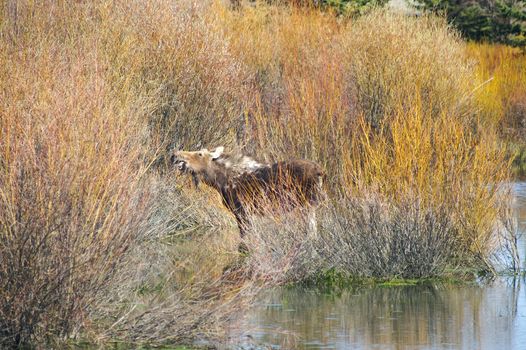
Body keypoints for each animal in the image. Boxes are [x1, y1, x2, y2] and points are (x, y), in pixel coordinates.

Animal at [172, 147, 326, 241]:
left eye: (200, 154)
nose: (176, 154)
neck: (219, 181)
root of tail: (320, 171)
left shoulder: (242, 211)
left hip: (307, 205)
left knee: (312, 231)